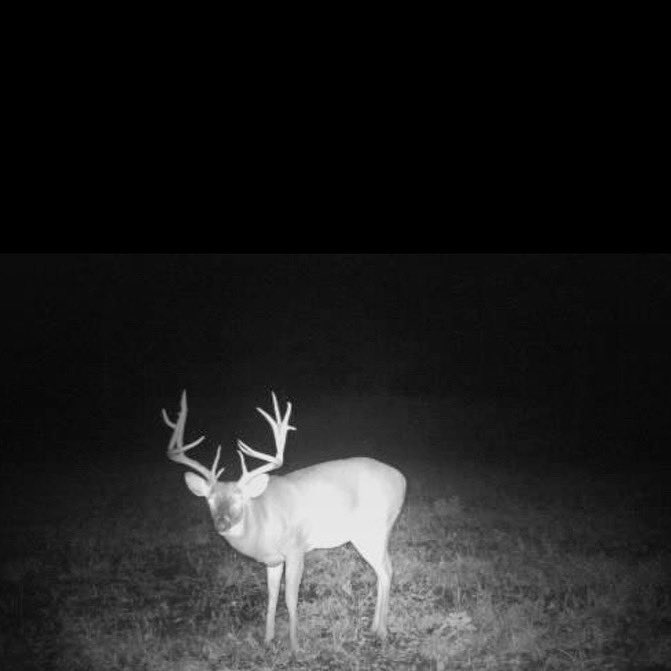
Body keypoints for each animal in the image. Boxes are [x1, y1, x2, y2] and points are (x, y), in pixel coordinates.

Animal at [162, 390, 406, 651]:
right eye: (209, 500)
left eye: (240, 499)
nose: (222, 523)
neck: (261, 521)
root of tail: (401, 479)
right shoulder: (272, 560)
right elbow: (271, 597)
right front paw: (267, 639)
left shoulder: (296, 548)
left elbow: (290, 598)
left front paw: (295, 646)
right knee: (383, 571)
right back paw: (374, 627)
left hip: (372, 531)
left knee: (387, 571)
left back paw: (381, 631)